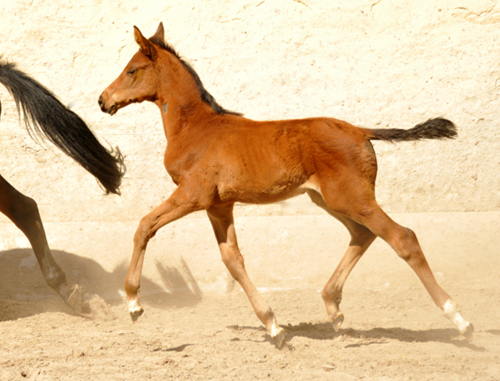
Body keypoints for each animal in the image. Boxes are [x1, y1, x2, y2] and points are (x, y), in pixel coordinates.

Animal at [97, 22, 472, 346]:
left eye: (132, 70)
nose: (103, 100)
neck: (196, 128)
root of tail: (360, 130)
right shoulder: (219, 205)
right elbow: (232, 260)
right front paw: (273, 327)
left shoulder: (193, 195)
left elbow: (144, 226)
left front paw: (133, 303)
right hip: (329, 199)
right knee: (363, 234)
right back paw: (333, 308)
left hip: (351, 198)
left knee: (402, 237)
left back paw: (459, 319)